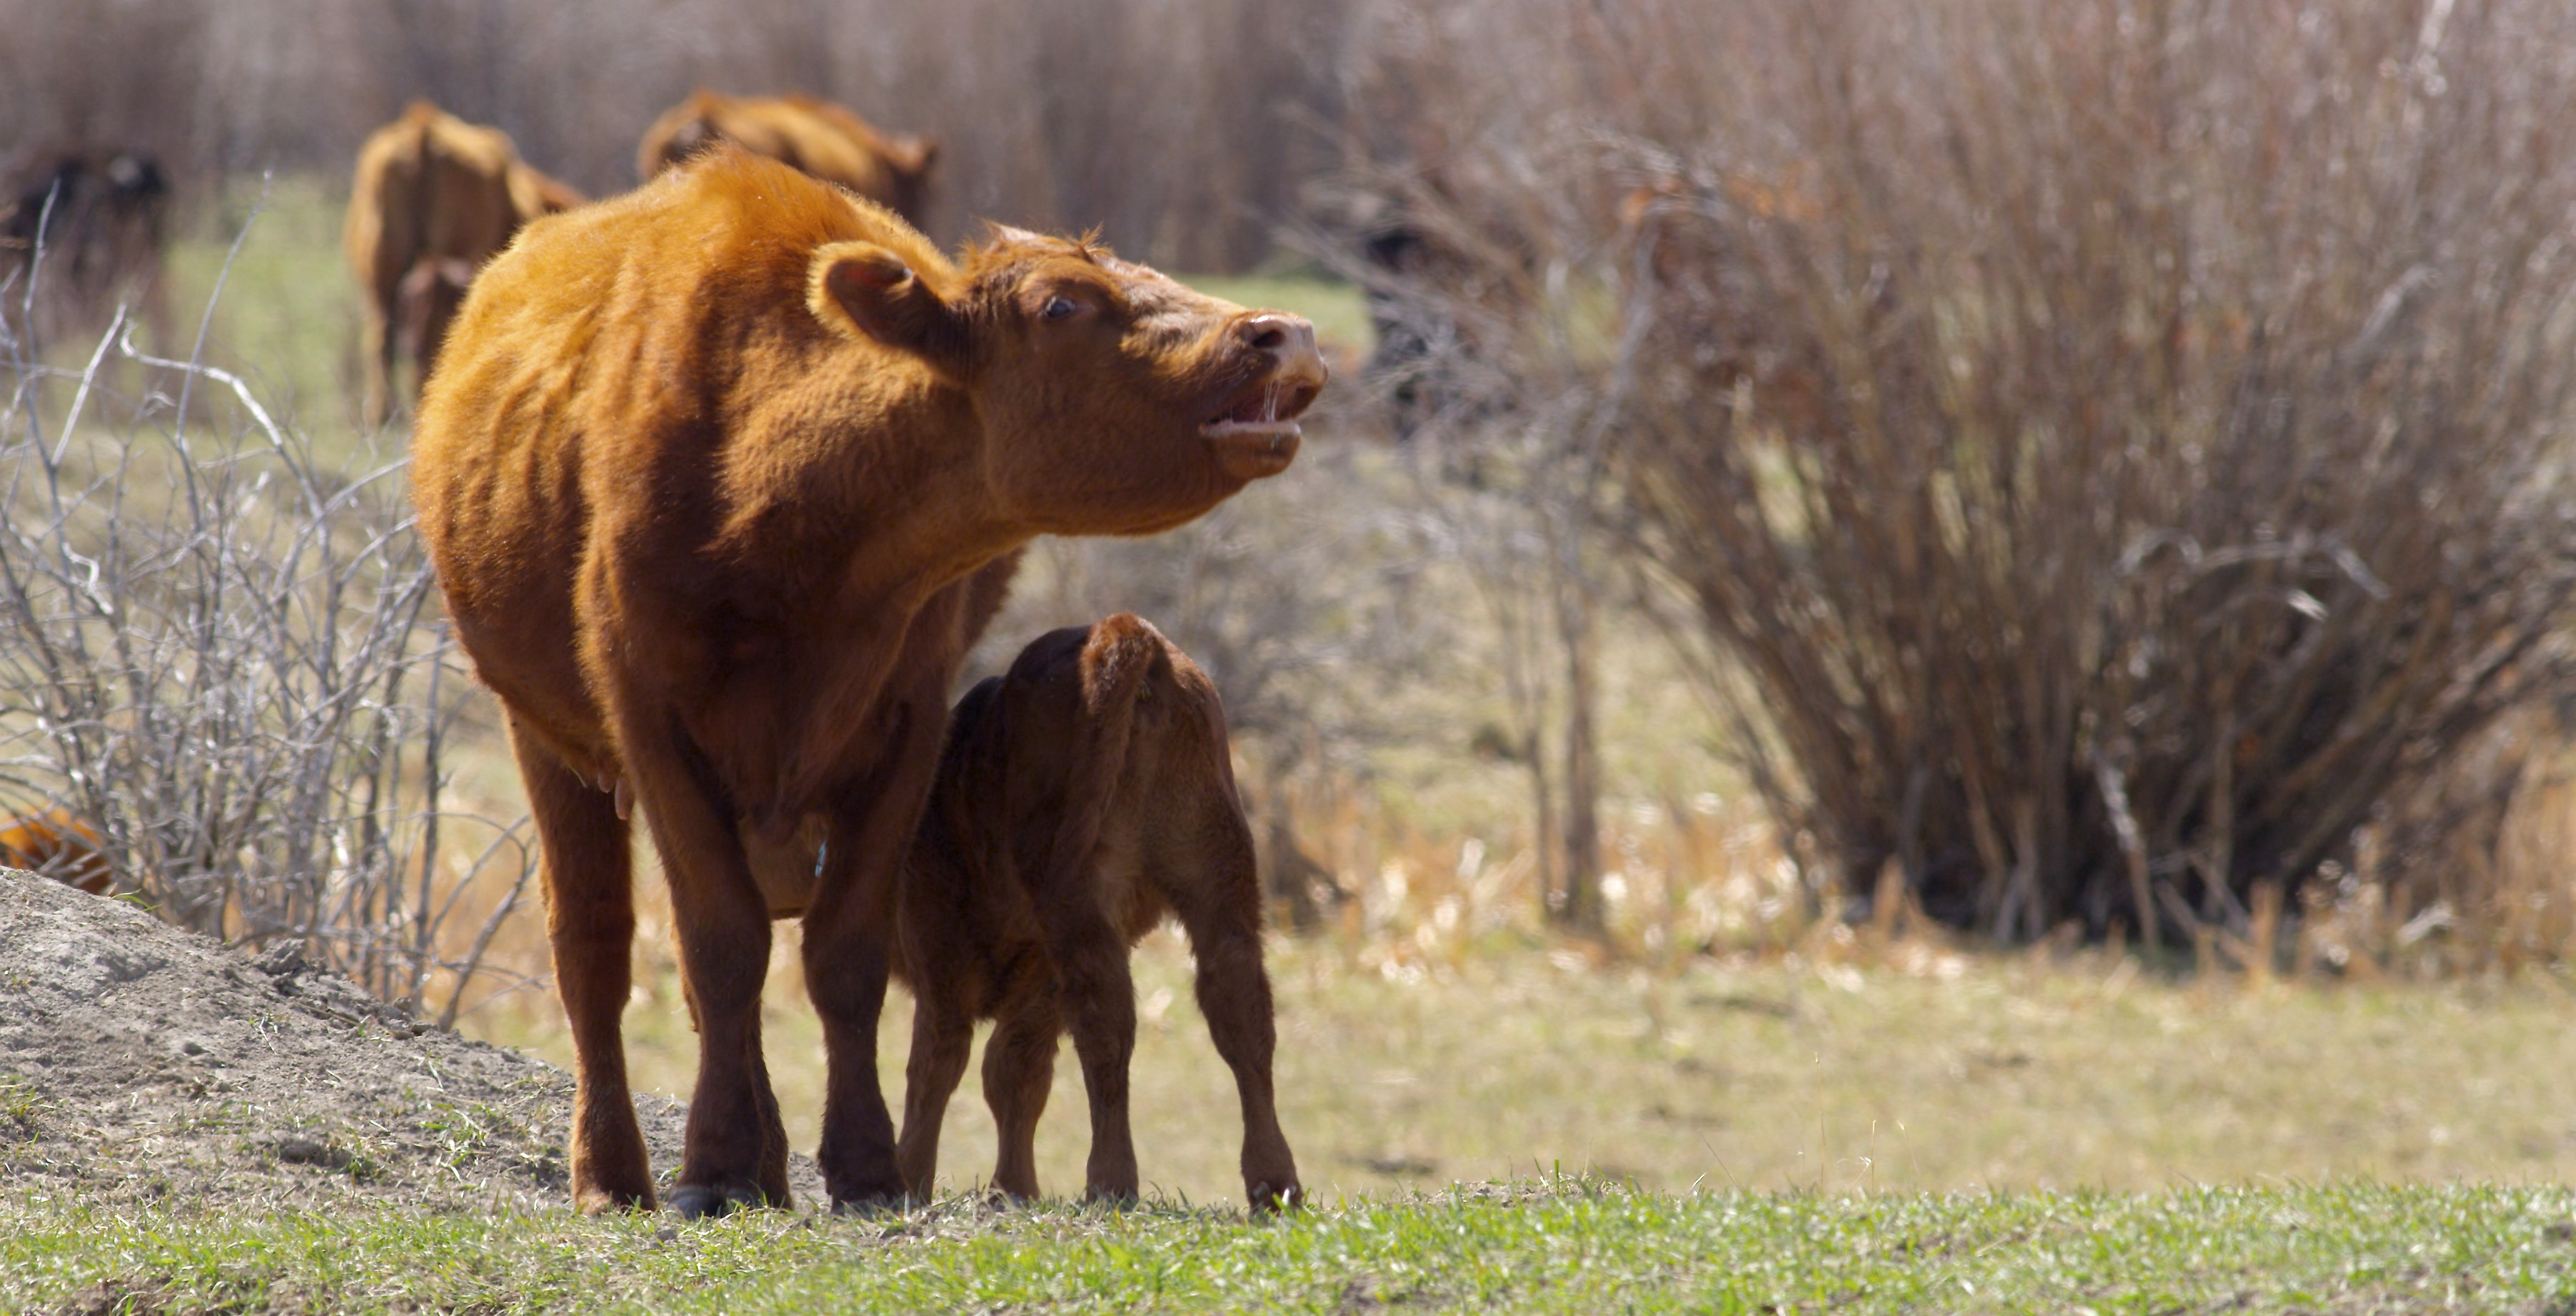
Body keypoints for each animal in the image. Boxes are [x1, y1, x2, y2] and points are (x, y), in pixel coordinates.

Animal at [891, 618, 1298, 1215]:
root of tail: (1125, 631)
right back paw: (1272, 1181)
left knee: (1105, 1022)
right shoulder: (1037, 979)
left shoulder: (941, 946)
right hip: (1219, 876)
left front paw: (909, 1178)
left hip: (1081, 895)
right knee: (1240, 1006)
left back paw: (1110, 1181)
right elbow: (1012, 1071)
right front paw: (1013, 1188)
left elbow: (939, 1062)